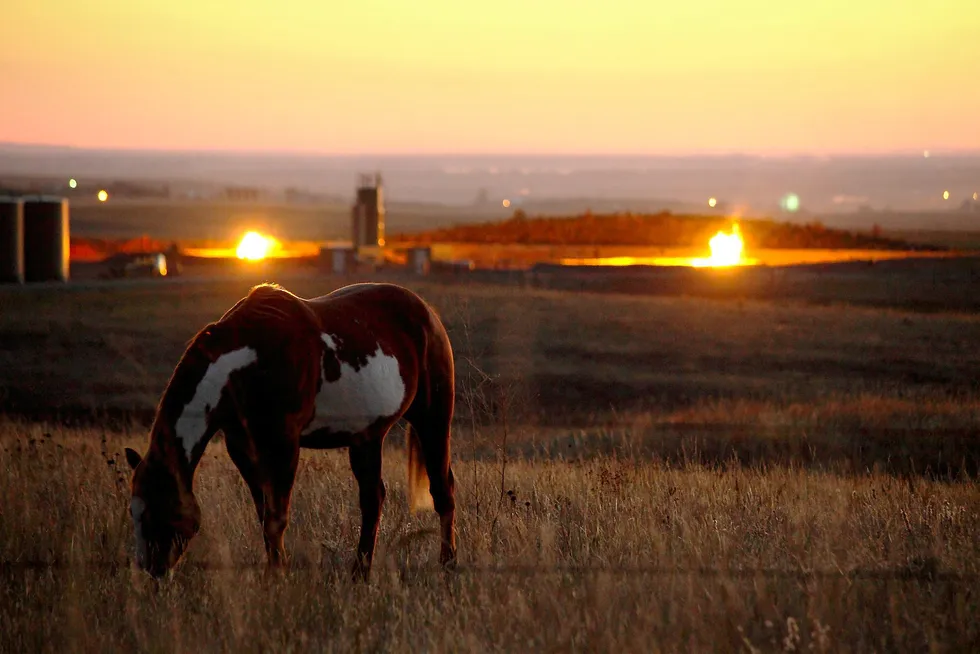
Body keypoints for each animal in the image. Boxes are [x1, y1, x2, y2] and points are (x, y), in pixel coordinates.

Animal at [124, 284, 458, 580]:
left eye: (157, 511)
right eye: (134, 512)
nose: (150, 571)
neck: (249, 362)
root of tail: (428, 312)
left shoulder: (284, 444)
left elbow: (276, 517)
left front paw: (276, 578)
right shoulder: (242, 447)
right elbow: (264, 513)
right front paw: (276, 570)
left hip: (433, 419)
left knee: (442, 490)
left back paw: (448, 566)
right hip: (367, 437)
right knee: (372, 498)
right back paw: (360, 573)